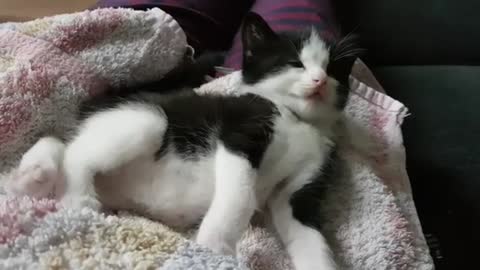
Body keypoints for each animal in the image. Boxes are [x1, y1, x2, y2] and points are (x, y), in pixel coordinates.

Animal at [5, 12, 360, 270]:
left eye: (333, 70)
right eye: (294, 63)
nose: (319, 80)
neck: (298, 120)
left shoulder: (305, 183)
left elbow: (305, 230)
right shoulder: (241, 130)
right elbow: (240, 196)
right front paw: (215, 248)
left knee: (60, 144)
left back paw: (32, 177)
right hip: (147, 118)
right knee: (76, 150)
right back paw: (76, 198)